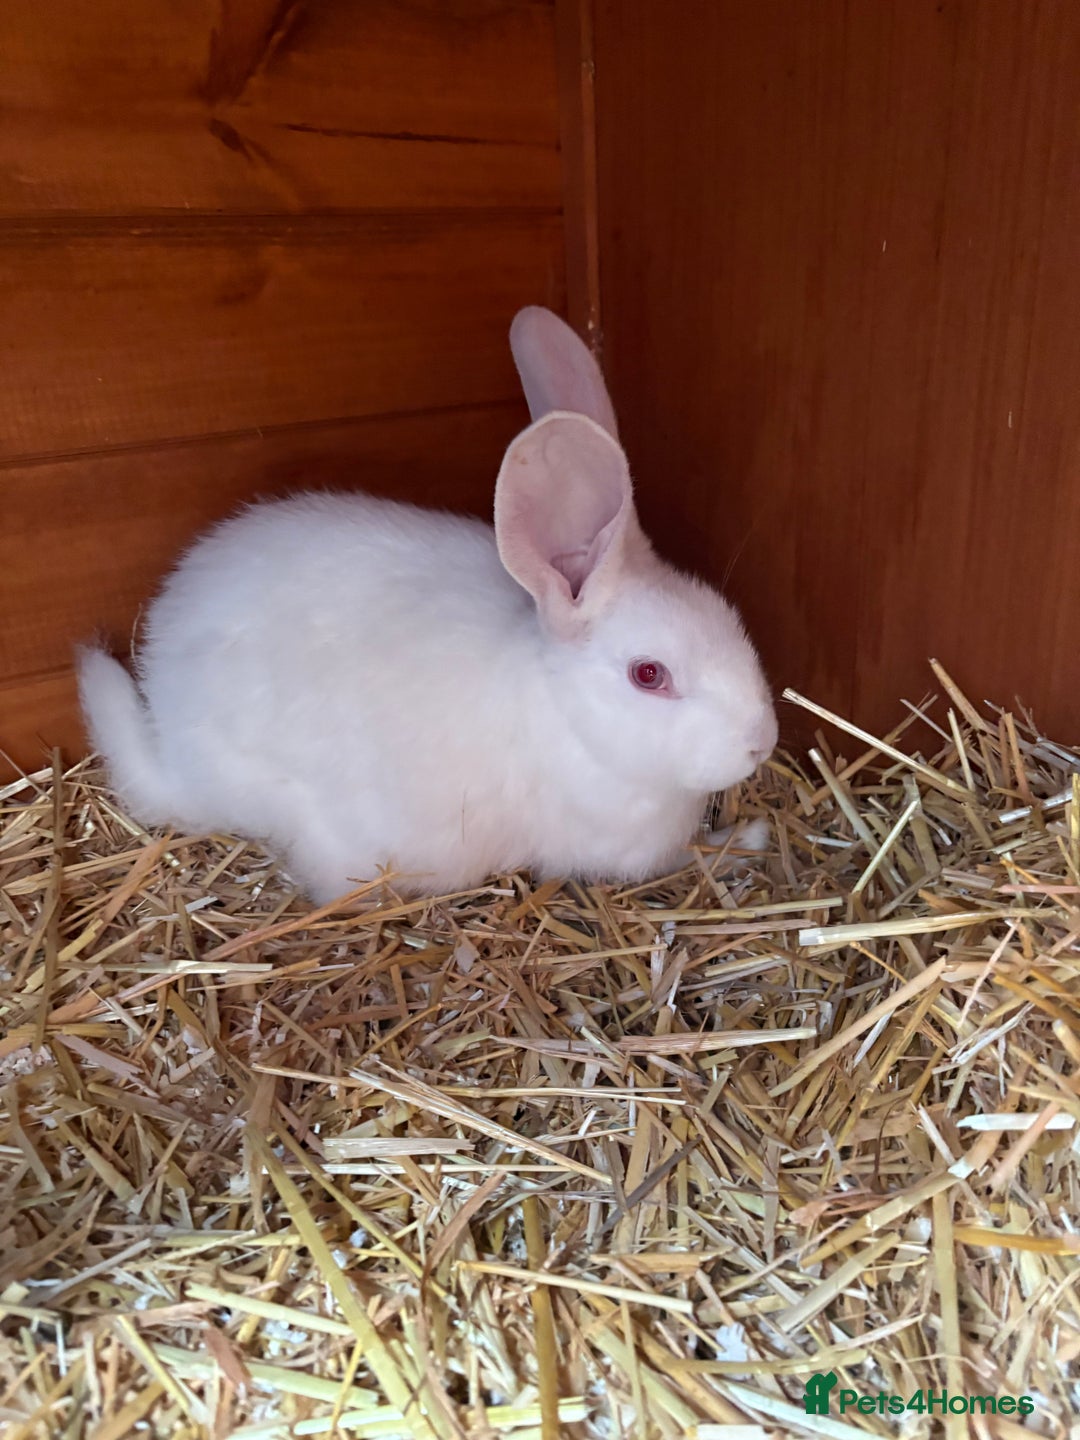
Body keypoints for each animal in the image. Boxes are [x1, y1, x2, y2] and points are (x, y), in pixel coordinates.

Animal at [77, 306, 778, 904]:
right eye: (648, 674)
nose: (762, 743)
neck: (564, 713)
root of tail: (172, 740)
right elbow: (689, 857)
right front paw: (749, 838)